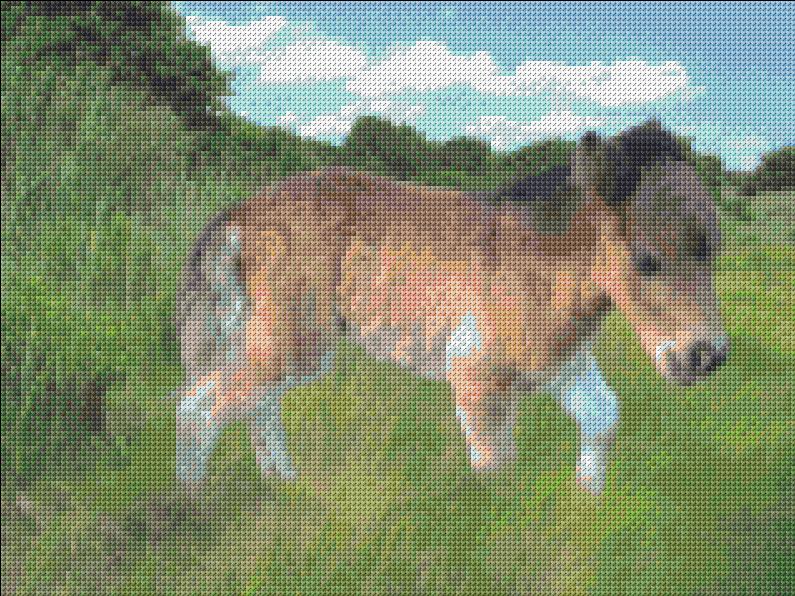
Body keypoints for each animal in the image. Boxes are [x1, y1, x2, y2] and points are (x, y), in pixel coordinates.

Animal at [173, 121, 729, 495]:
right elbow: (497, 472)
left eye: (716, 250)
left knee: (251, 406)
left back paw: (285, 487)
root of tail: (241, 214)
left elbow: (603, 416)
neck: (534, 264)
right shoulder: (477, 378)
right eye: (646, 259)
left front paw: (585, 507)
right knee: (202, 408)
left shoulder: (561, 365)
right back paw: (191, 506)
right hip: (294, 344)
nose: (705, 357)